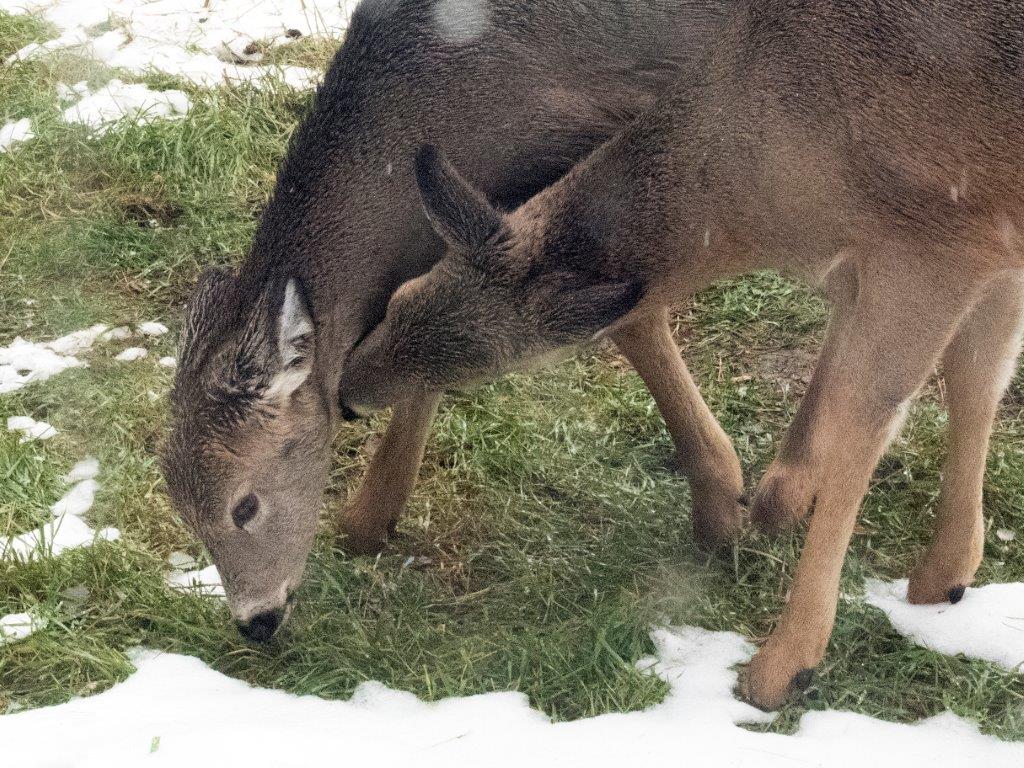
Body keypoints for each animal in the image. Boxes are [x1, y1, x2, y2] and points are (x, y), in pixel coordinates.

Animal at [162, 0, 743, 644]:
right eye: (182, 510)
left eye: (245, 504)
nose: (256, 622)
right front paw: (368, 521)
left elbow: (631, 317)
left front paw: (723, 503)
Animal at [337, 0, 1024, 709]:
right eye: (399, 297)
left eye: (483, 369)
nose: (347, 392)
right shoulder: (993, 247)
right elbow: (980, 377)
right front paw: (946, 573)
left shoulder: (936, 245)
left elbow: (869, 424)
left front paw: (785, 663)